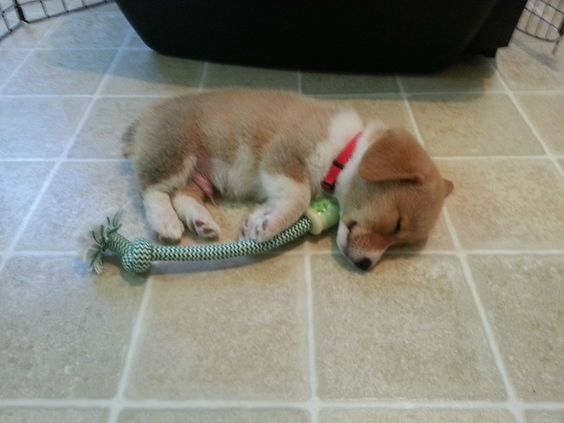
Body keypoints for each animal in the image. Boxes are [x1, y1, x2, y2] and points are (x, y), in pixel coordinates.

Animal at [125, 92, 452, 272]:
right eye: (397, 224)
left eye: (402, 242)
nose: (365, 266)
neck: (342, 151)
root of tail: (143, 120)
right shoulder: (283, 156)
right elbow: (299, 197)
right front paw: (269, 227)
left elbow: (282, 200)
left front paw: (257, 221)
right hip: (175, 152)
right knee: (152, 189)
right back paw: (166, 223)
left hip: (199, 176)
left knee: (183, 195)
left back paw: (200, 221)